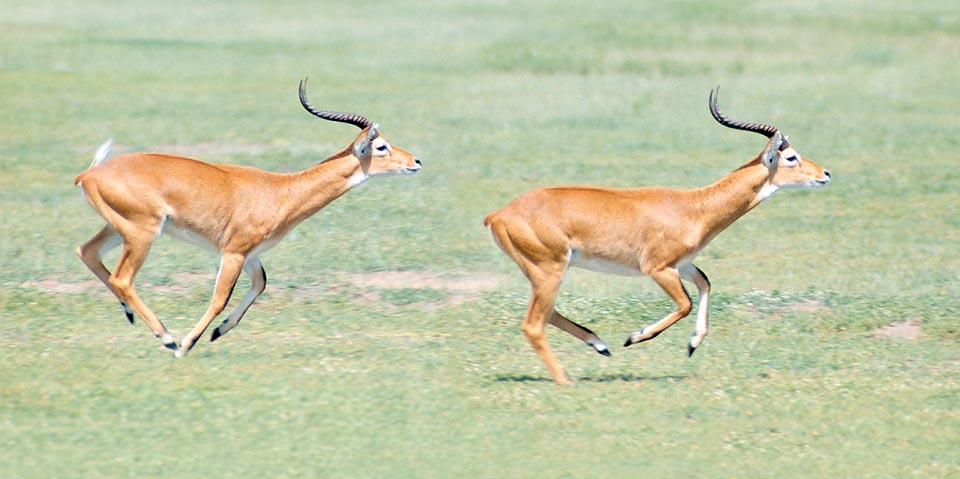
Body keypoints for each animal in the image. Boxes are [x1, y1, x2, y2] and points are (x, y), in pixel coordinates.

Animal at [75, 79, 420, 356]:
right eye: (381, 146)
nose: (416, 161)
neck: (282, 190)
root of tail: (91, 173)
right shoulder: (233, 252)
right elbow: (220, 298)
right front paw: (187, 344)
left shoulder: (252, 254)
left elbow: (260, 283)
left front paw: (218, 332)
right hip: (143, 233)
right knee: (122, 278)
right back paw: (168, 339)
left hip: (118, 230)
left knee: (87, 252)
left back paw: (133, 315)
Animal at [484, 87, 828, 386]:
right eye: (791, 157)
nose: (825, 174)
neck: (694, 207)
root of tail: (500, 213)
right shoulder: (659, 268)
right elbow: (685, 303)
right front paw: (634, 337)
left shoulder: (684, 264)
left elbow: (705, 284)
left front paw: (692, 344)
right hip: (550, 270)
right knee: (533, 324)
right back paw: (566, 378)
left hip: (544, 272)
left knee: (548, 313)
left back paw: (599, 344)